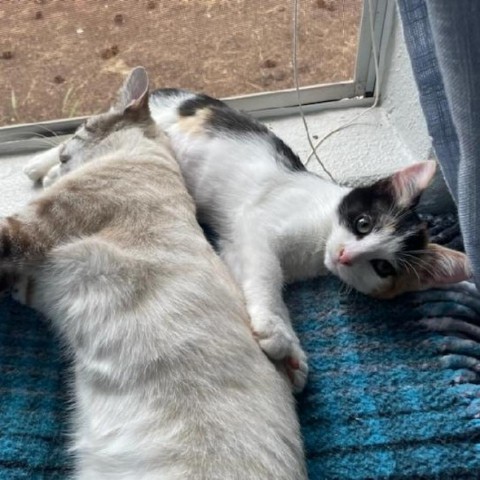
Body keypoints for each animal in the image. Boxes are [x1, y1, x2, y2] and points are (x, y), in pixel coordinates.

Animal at [24, 87, 470, 394]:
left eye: (382, 267)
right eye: (362, 223)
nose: (345, 255)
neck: (319, 235)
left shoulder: (237, 246)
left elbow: (248, 275)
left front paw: (293, 359)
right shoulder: (256, 227)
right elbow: (267, 278)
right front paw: (279, 334)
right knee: (84, 137)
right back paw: (42, 166)